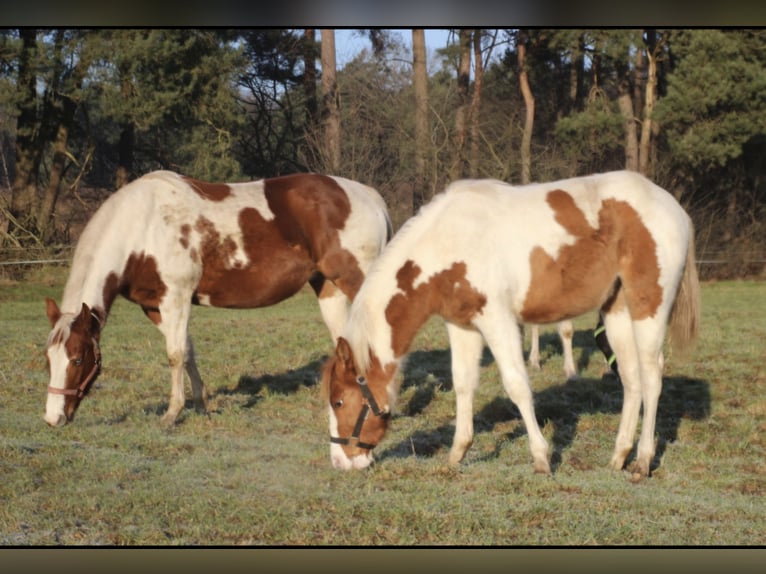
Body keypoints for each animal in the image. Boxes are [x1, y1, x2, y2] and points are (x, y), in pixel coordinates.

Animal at [44, 170, 392, 427]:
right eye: (49, 358)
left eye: (78, 358)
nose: (53, 418)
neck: (143, 227)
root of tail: (369, 196)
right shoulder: (154, 306)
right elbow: (188, 352)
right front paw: (202, 404)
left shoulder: (176, 298)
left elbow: (174, 354)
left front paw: (172, 413)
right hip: (328, 287)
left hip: (357, 282)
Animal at [320, 170, 700, 477]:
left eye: (338, 402)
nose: (340, 462)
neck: (448, 242)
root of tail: (674, 207)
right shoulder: (462, 326)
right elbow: (462, 384)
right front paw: (457, 454)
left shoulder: (497, 320)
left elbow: (517, 385)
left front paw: (542, 458)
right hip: (616, 310)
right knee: (632, 379)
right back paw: (619, 456)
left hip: (648, 308)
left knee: (652, 376)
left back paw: (642, 461)